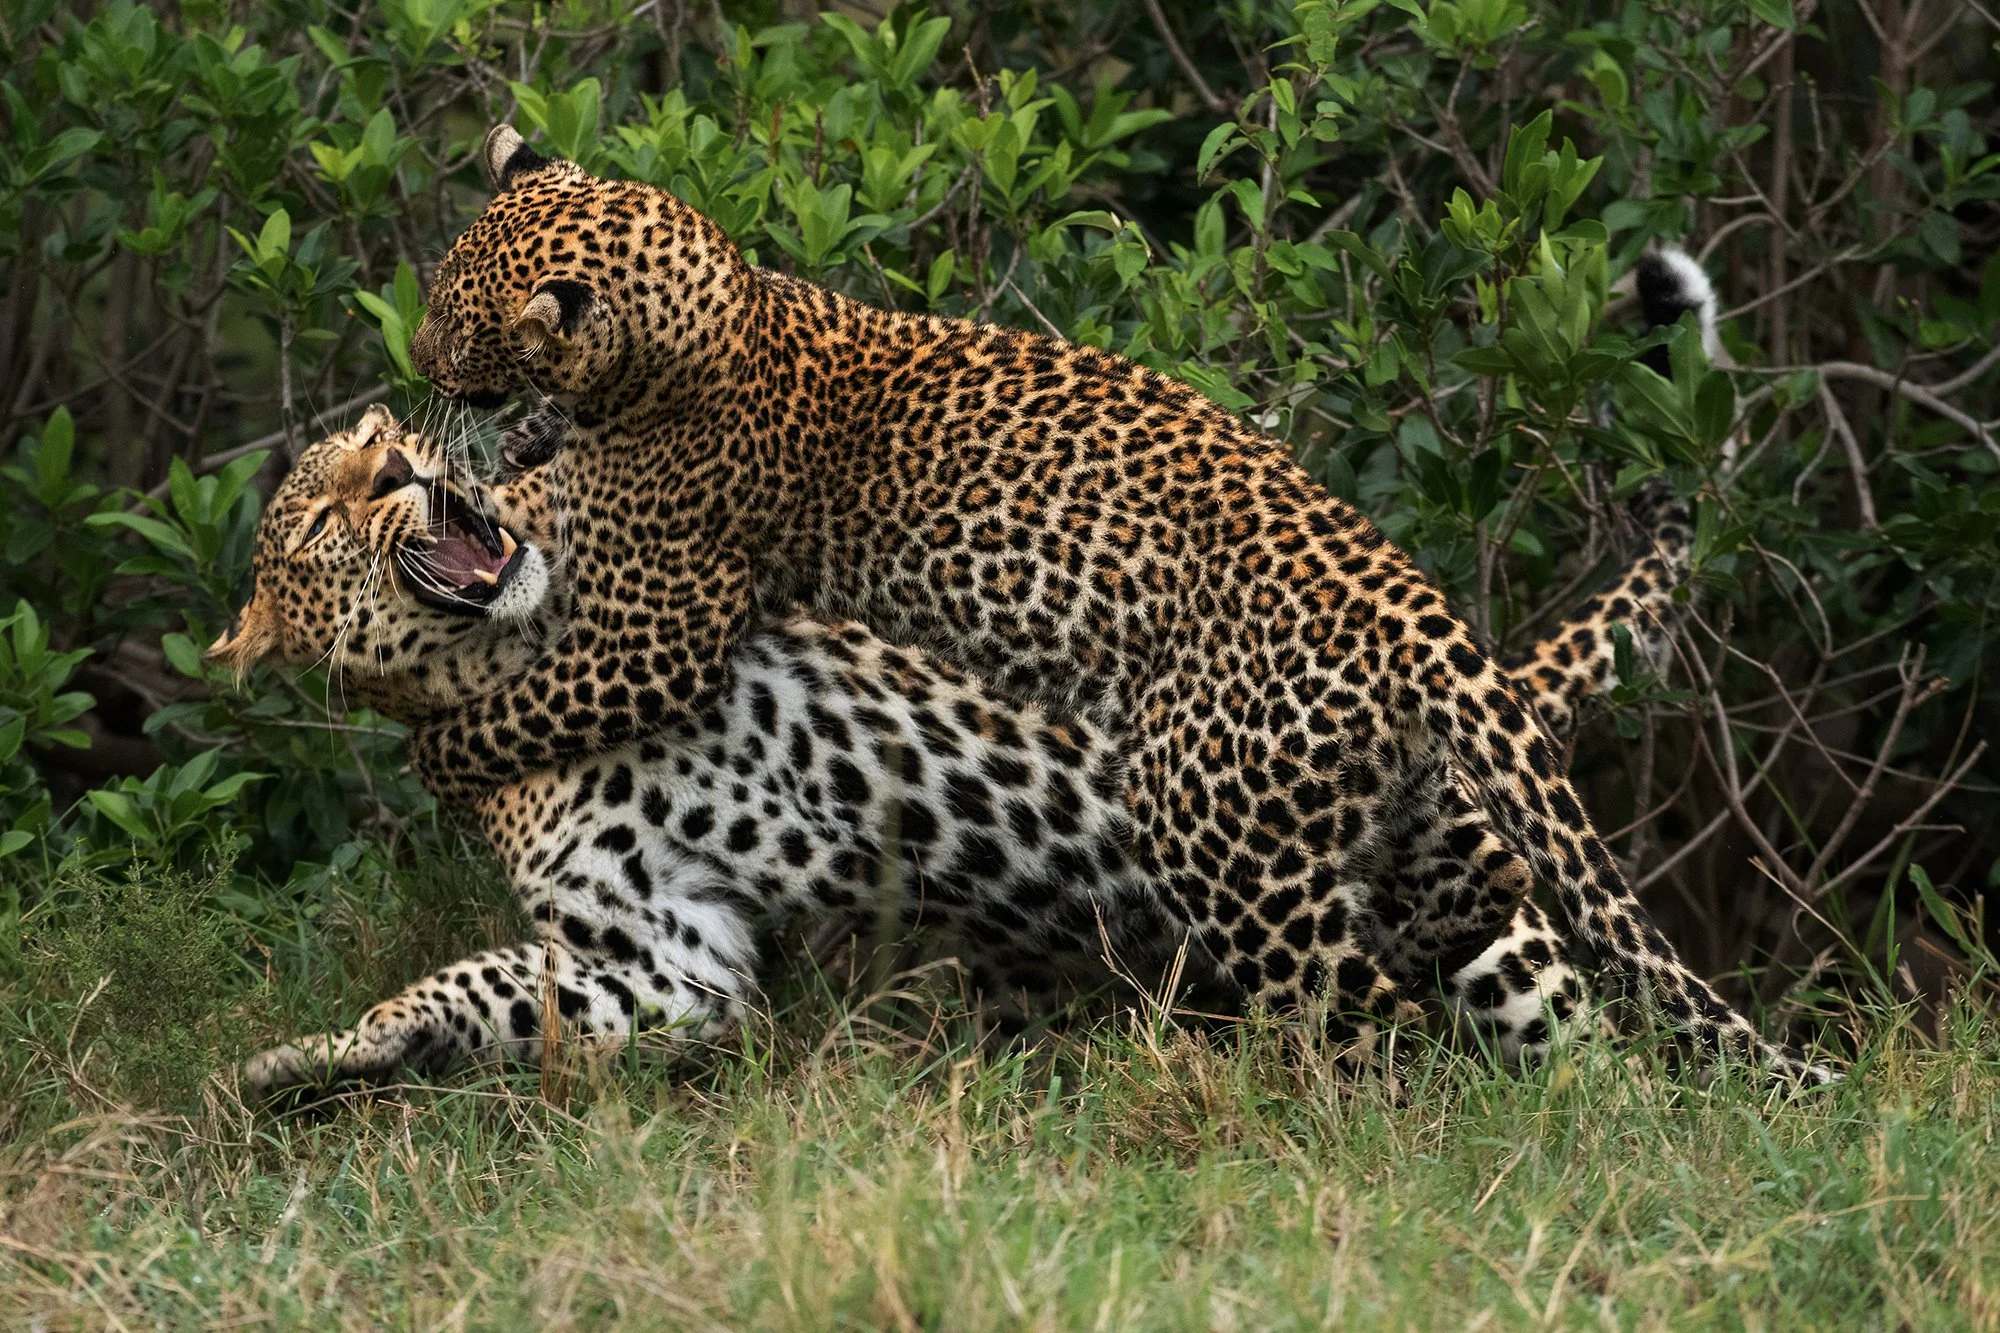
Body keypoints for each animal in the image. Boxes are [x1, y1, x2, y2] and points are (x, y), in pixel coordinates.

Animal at [216, 408, 1701, 1095]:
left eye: (373, 446)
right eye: (322, 523)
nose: (400, 468)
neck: (498, 658)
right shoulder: (667, 957)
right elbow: (478, 987)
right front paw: (318, 1060)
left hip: (1390, 913)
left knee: (1499, 1039)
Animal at [398, 123, 1832, 1084]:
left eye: (458, 334)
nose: (417, 369)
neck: (705, 313)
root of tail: (1409, 604)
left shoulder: (666, 616)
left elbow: (524, 699)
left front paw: (446, 749)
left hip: (1231, 841)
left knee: (1360, 1007)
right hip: (1405, 819)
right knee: (1505, 935)